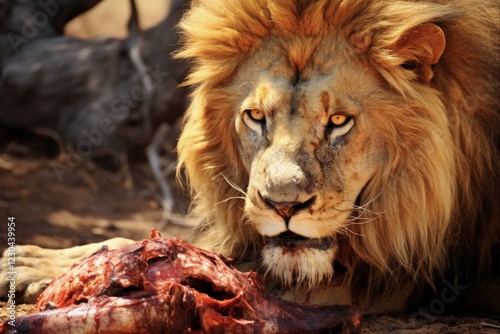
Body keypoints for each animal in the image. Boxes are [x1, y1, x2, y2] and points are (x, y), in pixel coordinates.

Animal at [1, 0, 498, 316]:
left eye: (338, 121)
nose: (283, 206)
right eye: (256, 116)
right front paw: (35, 262)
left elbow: (219, 269)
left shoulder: (406, 275)